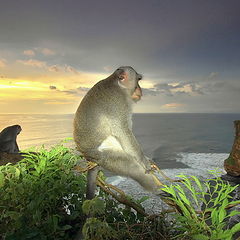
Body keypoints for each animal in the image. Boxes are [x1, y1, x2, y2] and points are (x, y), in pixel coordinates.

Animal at [74, 66, 162, 200]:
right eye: (138, 80)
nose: (140, 89)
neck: (116, 84)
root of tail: (88, 156)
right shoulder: (118, 103)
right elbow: (123, 131)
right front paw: (144, 161)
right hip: (102, 156)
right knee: (132, 167)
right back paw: (157, 190)